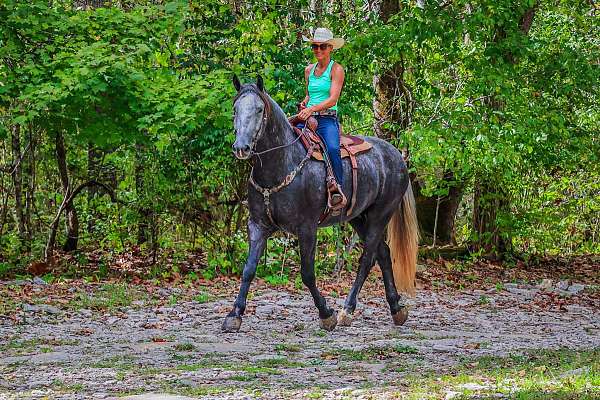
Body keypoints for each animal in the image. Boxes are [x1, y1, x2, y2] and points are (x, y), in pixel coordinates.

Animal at [221, 75, 418, 332]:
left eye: (259, 109)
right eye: (235, 109)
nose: (241, 148)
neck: (282, 163)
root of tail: (395, 155)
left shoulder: (307, 228)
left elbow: (307, 274)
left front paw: (326, 314)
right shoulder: (257, 226)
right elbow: (248, 269)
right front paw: (234, 315)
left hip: (380, 215)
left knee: (367, 259)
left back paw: (347, 310)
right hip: (358, 217)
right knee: (383, 253)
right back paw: (396, 309)